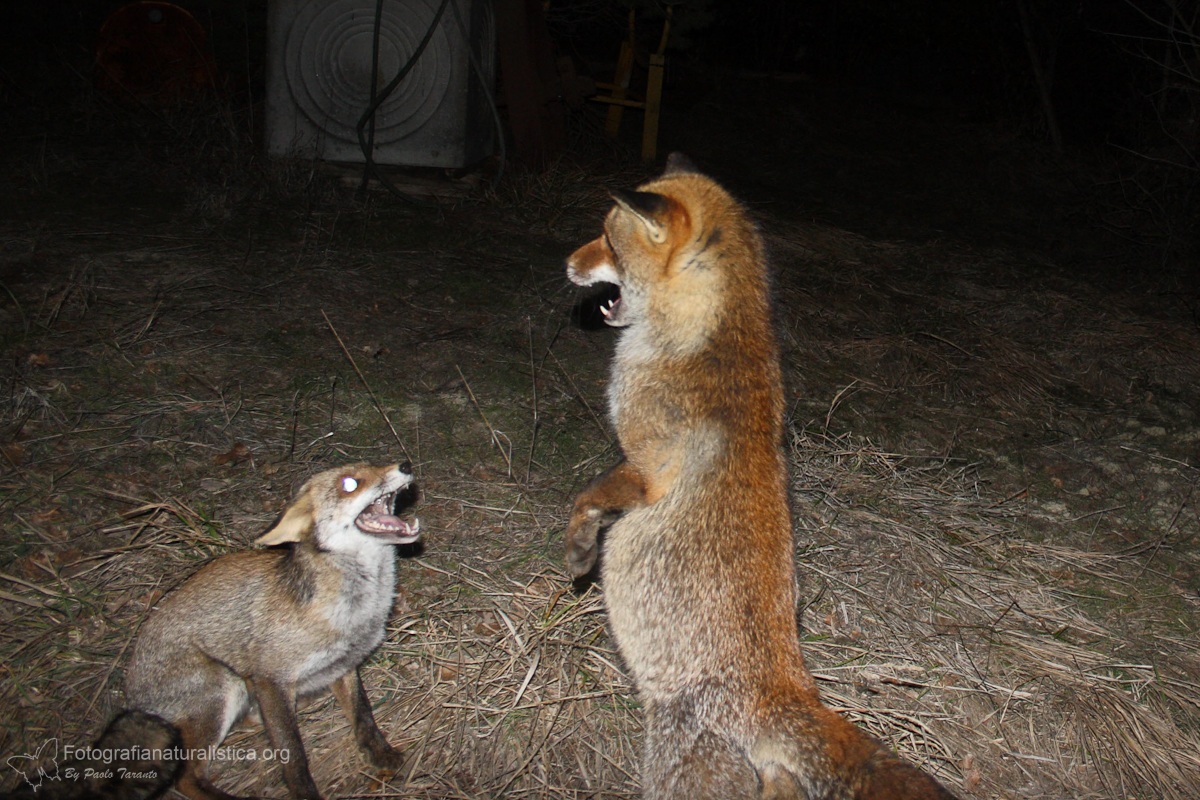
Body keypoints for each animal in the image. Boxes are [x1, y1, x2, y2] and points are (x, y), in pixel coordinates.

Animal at [120, 462, 421, 800]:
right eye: (349, 484)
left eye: (373, 465)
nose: (405, 465)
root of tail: (131, 693)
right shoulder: (269, 678)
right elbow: (293, 754)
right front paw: (306, 793)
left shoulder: (344, 665)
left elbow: (363, 714)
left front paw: (381, 753)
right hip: (225, 686)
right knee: (185, 778)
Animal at [565, 154, 958, 800]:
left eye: (607, 238)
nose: (567, 265)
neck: (708, 334)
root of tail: (789, 688)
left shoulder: (647, 467)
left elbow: (588, 499)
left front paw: (579, 550)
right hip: (765, 769)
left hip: (678, 757)